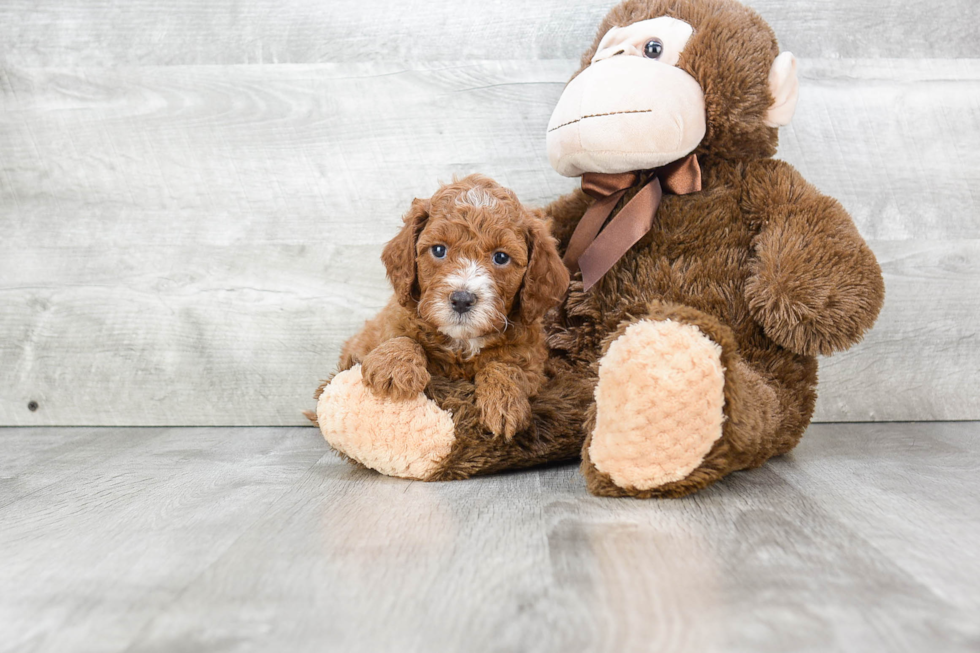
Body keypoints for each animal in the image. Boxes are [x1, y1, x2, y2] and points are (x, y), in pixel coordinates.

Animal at [336, 173, 572, 438]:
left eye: (501, 257)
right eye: (439, 250)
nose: (461, 299)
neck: (462, 342)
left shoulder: (533, 360)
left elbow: (507, 366)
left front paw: (503, 401)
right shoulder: (380, 328)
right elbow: (401, 336)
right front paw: (393, 367)